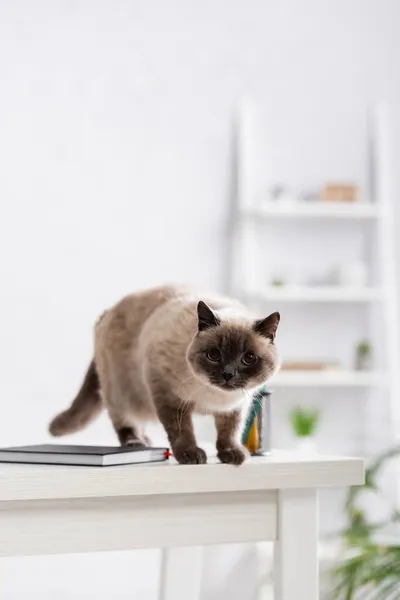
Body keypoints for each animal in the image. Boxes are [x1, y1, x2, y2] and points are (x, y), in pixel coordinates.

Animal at [49, 284, 282, 464]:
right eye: (214, 355)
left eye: (248, 358)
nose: (228, 374)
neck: (216, 397)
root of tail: (107, 311)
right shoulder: (169, 396)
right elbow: (181, 430)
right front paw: (190, 455)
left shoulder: (235, 407)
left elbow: (230, 432)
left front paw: (232, 454)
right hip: (122, 392)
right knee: (124, 419)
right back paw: (135, 443)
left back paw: (145, 441)